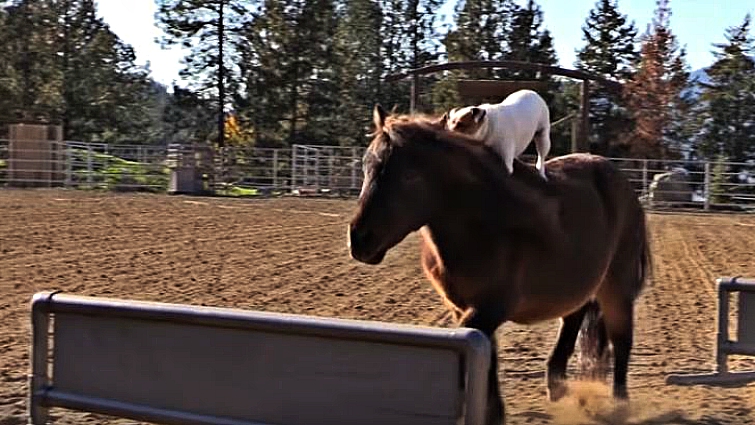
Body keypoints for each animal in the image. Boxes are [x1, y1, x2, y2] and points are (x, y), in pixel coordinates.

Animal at [347, 105, 651, 424]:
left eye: (409, 176)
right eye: (367, 166)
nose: (359, 239)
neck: (483, 220)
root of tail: (624, 186)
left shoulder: (491, 308)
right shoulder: (464, 308)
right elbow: (487, 354)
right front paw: (494, 413)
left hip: (618, 286)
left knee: (621, 341)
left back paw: (619, 404)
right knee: (573, 321)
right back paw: (557, 387)